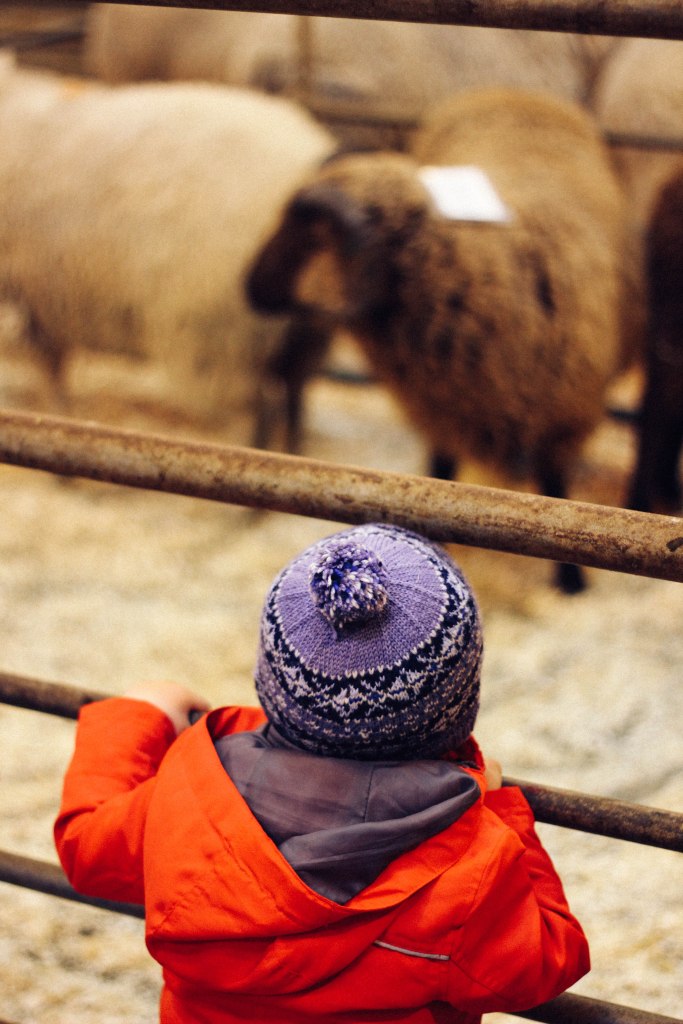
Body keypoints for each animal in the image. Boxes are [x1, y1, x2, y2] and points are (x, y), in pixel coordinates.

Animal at [0, 52, 336, 444]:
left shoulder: (35, 300)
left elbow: (52, 374)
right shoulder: (44, 301)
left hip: (229, 336)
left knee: (257, 410)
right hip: (303, 335)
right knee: (295, 397)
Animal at [247, 87, 642, 593]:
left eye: (310, 238)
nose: (248, 286)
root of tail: (506, 90)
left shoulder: (566, 416)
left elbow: (560, 496)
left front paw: (572, 580)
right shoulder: (441, 406)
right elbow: (441, 473)